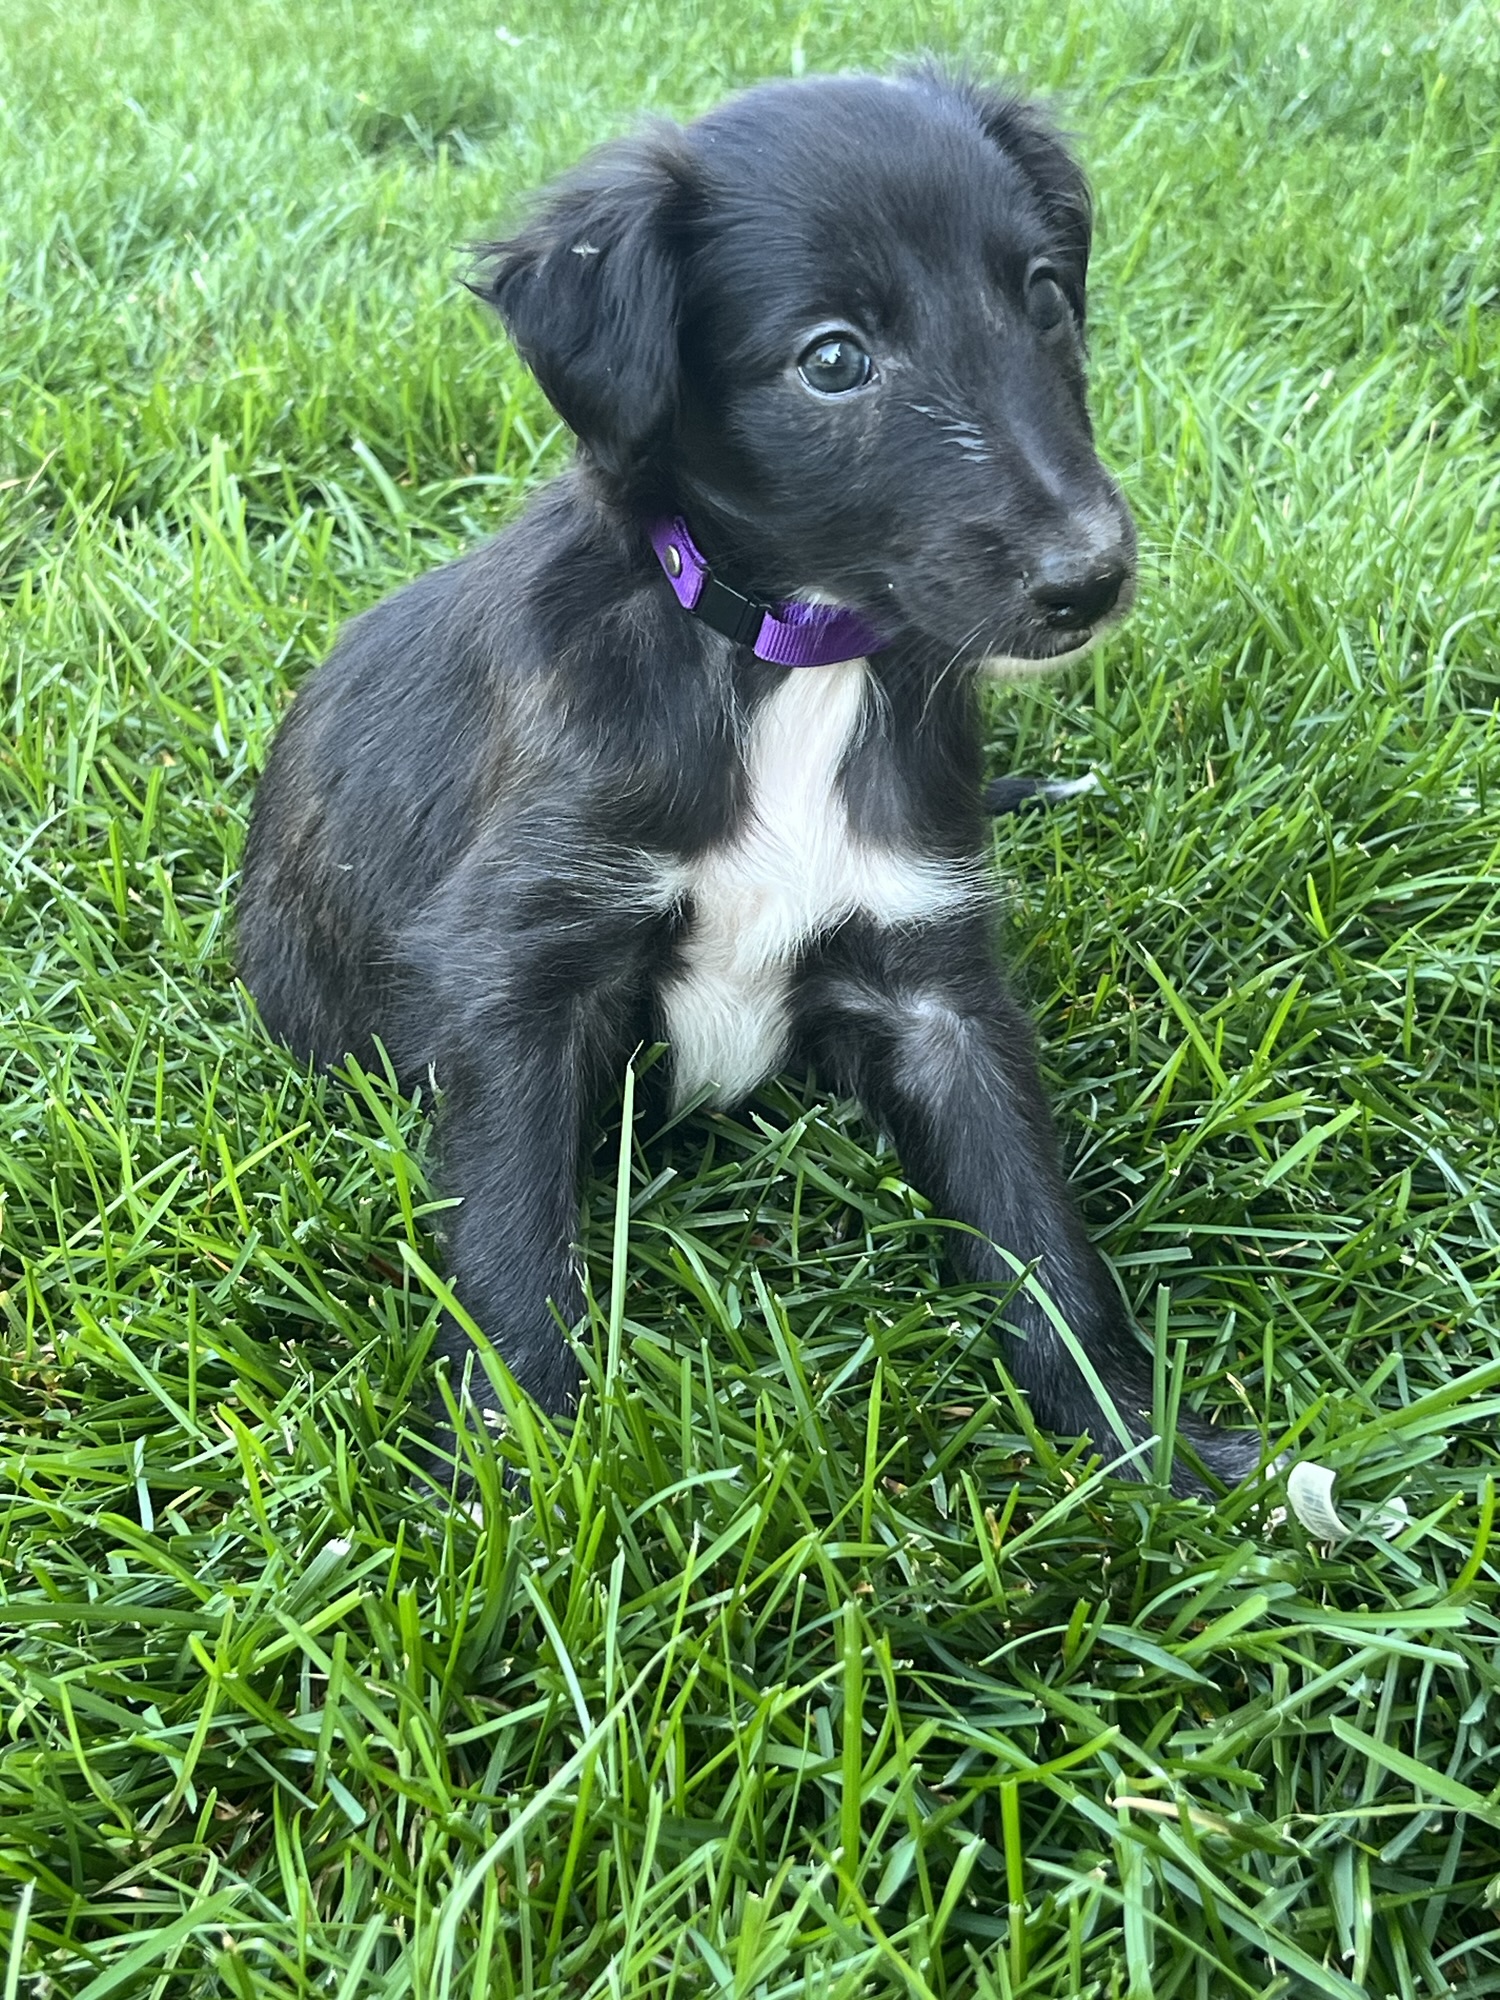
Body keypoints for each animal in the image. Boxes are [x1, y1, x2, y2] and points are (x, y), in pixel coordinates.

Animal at [238, 66, 1264, 1493]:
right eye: (833, 359)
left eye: (1046, 295)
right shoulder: (520, 970)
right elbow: (509, 1238)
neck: (791, 658)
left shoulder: (935, 976)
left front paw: (1139, 1440)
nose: (1092, 580)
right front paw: (512, 1471)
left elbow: (1034, 1219)